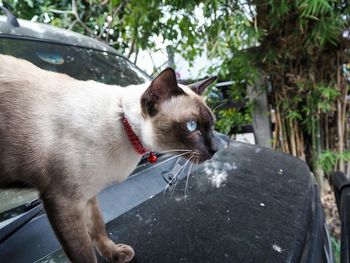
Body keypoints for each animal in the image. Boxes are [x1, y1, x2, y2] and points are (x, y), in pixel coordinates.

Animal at [0, 54, 217, 262]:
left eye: (212, 126)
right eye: (192, 126)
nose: (214, 149)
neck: (123, 124)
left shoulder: (89, 194)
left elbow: (98, 227)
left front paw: (115, 254)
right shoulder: (65, 201)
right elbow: (85, 254)